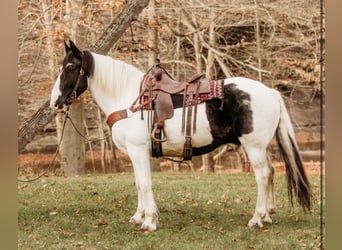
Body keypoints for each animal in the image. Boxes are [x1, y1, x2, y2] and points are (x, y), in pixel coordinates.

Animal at [49, 40, 312, 230]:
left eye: (70, 68)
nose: (55, 102)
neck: (128, 98)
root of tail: (270, 92)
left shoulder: (138, 150)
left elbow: (144, 183)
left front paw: (149, 222)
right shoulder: (135, 154)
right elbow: (138, 183)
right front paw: (139, 216)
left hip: (254, 146)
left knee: (263, 175)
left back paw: (257, 218)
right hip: (260, 147)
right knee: (272, 172)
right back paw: (267, 215)